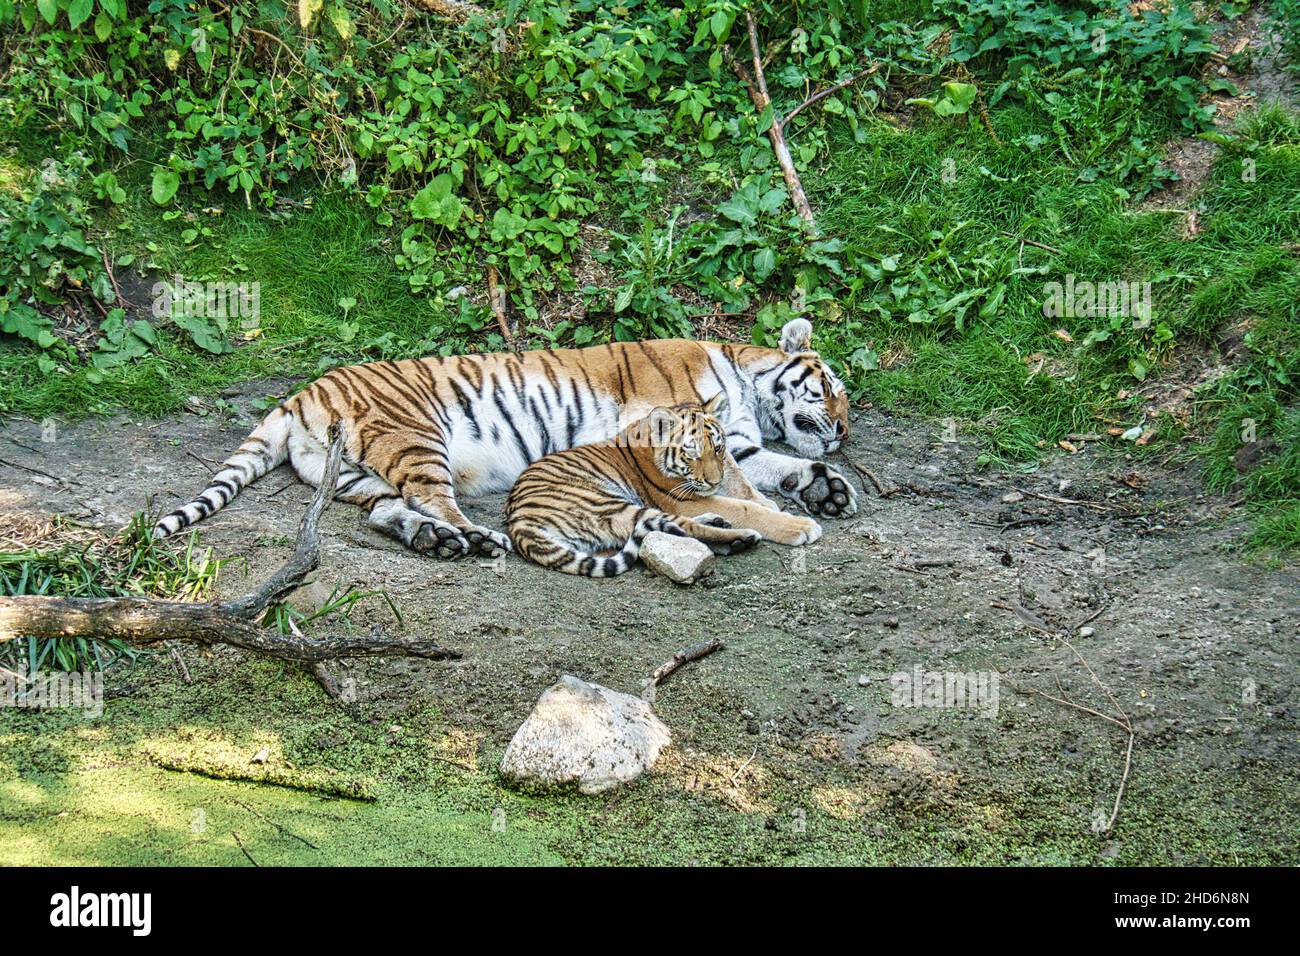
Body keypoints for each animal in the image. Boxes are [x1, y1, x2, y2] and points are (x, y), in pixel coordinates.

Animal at [152, 317, 857, 556]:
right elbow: (745, 494)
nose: (845, 430)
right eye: (829, 386)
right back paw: (476, 536)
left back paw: (438, 542)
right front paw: (803, 518)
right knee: (435, 499)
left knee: (387, 513)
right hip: (416, 436)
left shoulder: (734, 444)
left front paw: (828, 489)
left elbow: (768, 471)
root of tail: (303, 392)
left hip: (355, 474)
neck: (745, 383)